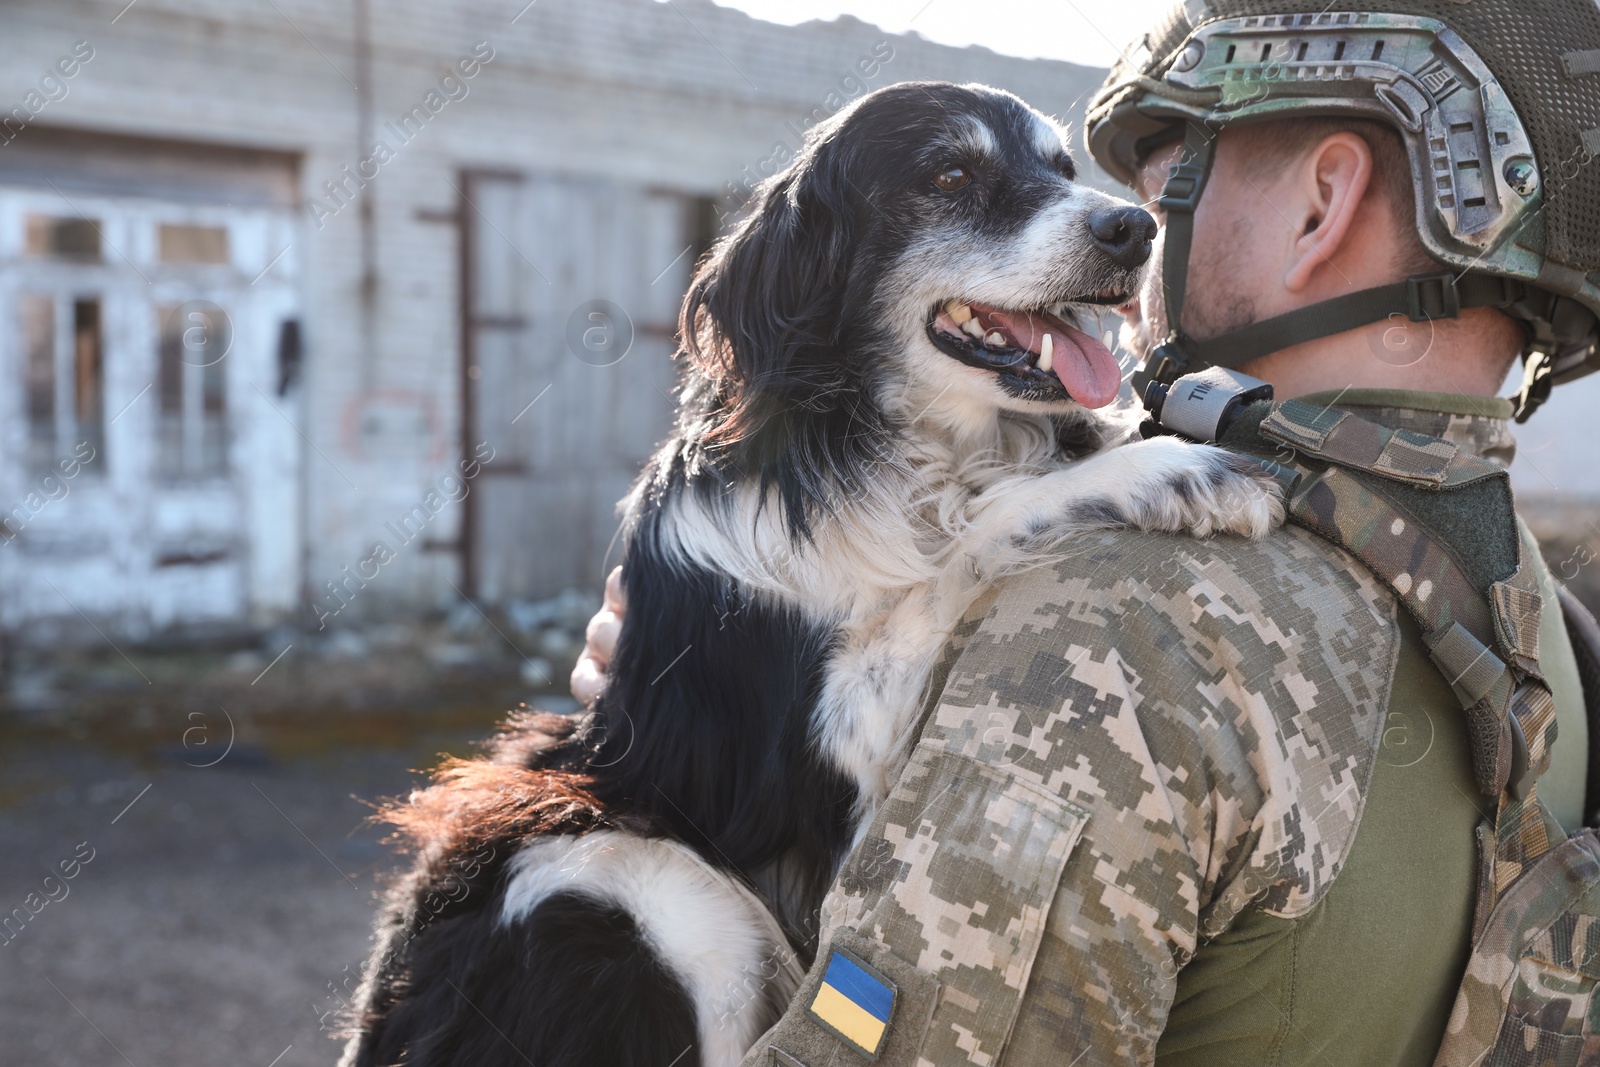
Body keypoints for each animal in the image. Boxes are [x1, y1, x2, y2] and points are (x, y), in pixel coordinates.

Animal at [344, 81, 1280, 1067]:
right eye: (951, 175)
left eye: (1062, 169)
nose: (1134, 227)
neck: (887, 448)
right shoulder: (825, 751)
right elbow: (974, 537)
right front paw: (1167, 469)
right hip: (646, 881)